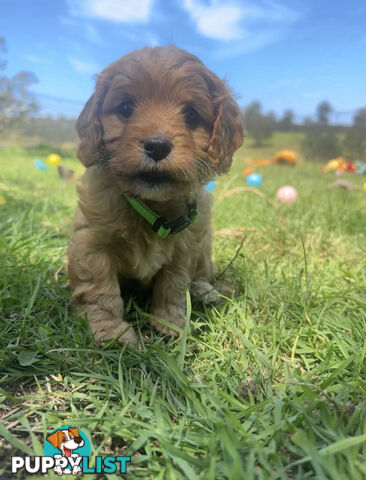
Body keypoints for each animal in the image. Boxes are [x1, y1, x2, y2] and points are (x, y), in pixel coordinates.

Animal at [68, 45, 243, 344]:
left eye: (190, 114)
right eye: (125, 108)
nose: (157, 146)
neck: (149, 205)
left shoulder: (185, 247)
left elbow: (174, 285)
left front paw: (170, 324)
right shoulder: (91, 243)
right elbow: (100, 289)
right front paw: (111, 332)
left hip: (204, 249)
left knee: (200, 276)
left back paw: (205, 292)